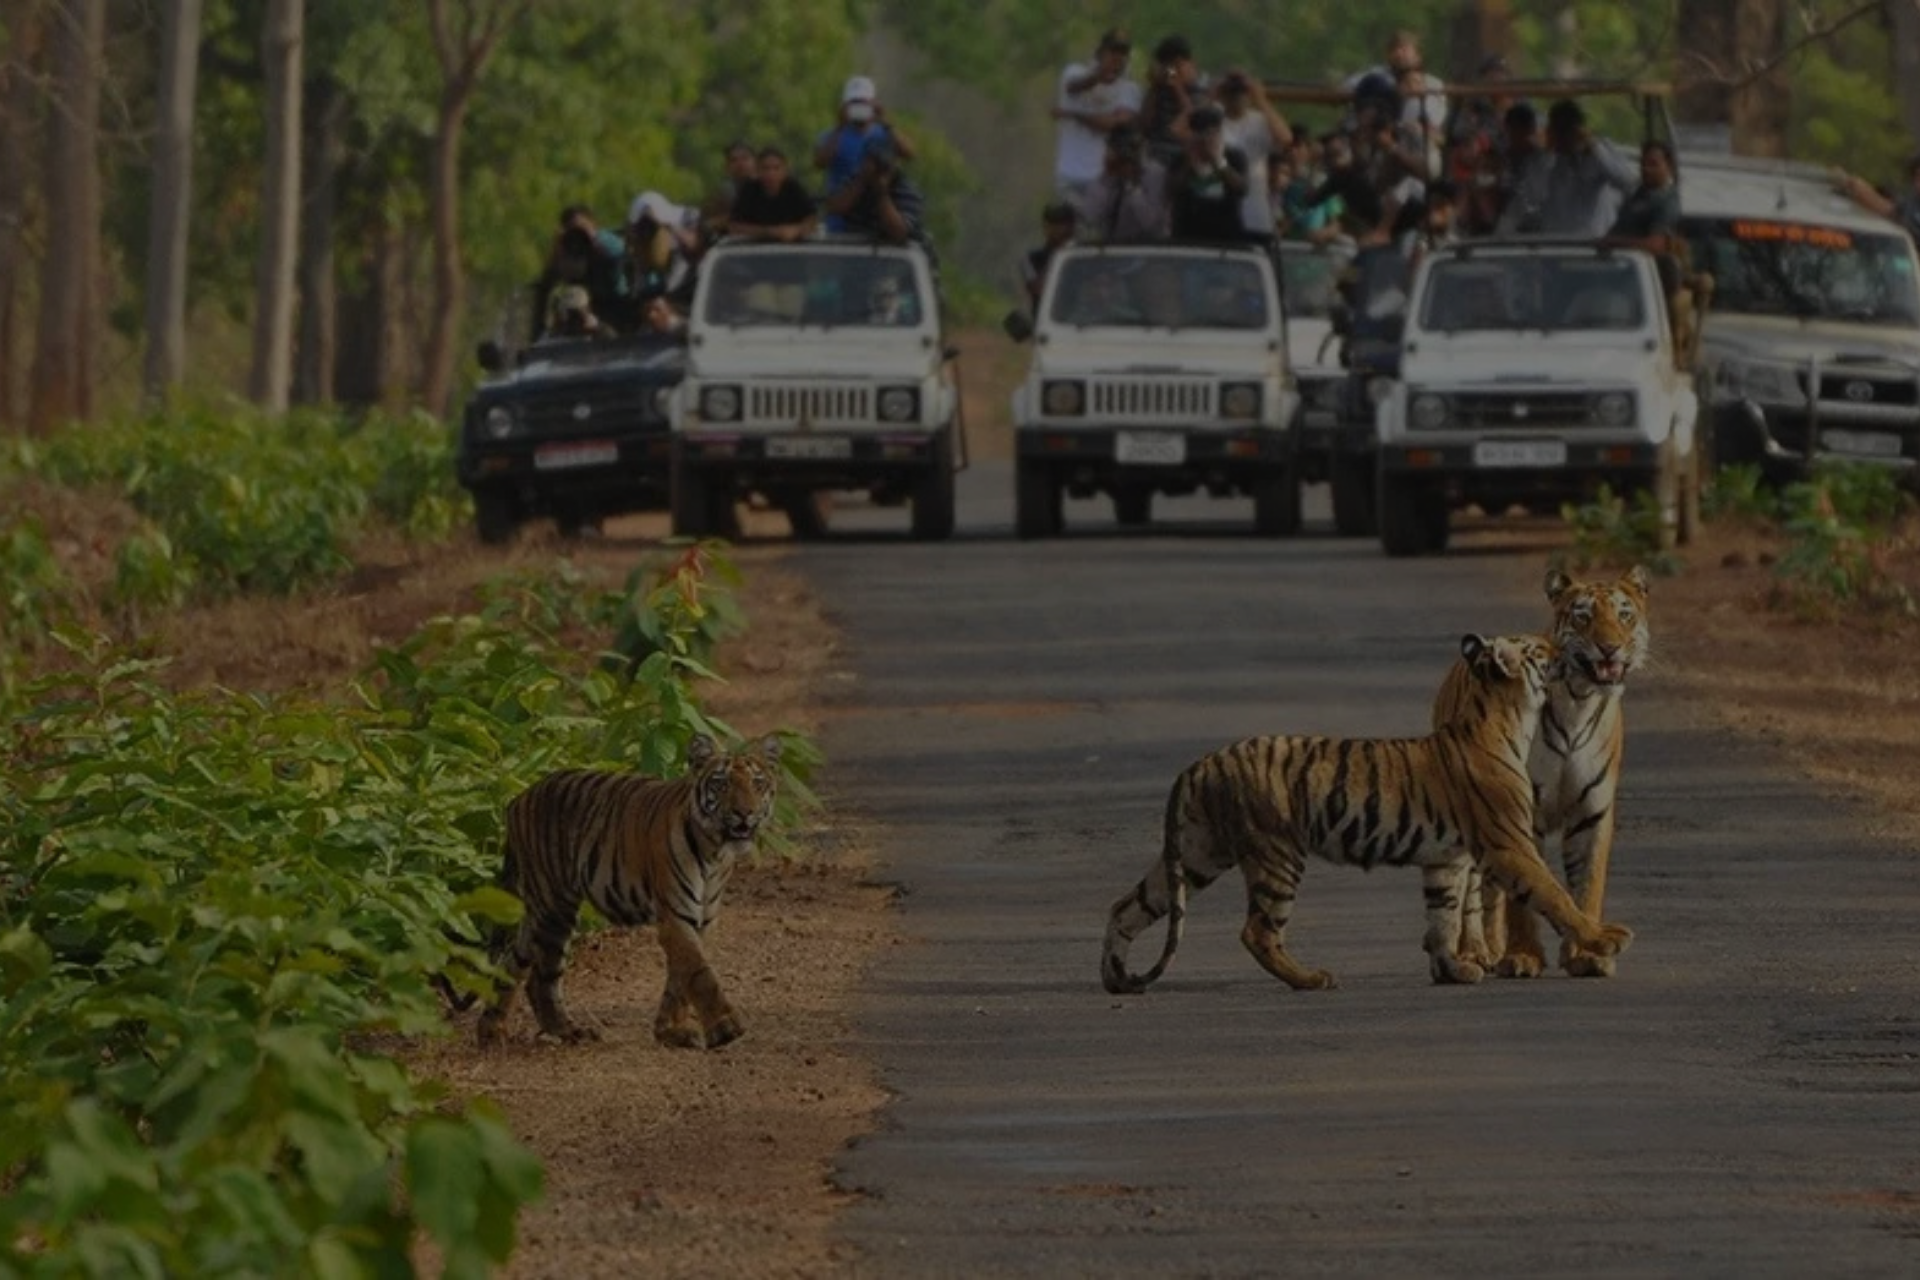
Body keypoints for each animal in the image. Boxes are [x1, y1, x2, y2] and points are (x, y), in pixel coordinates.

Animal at [456, 729, 779, 1051]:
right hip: (554, 907)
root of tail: (517, 799)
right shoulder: (676, 916)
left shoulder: (702, 919)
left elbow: (680, 976)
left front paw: (671, 1031)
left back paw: (493, 1032)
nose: (744, 813)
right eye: (721, 784)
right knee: (541, 978)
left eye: (758, 783)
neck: (715, 851)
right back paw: (567, 1031)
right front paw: (725, 1028)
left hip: (539, 912)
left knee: (514, 963)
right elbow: (699, 972)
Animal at [1443, 564, 1651, 982]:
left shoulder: (1592, 813)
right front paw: (1522, 957)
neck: (1579, 701)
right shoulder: (1522, 813)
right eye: (1583, 616)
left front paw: (1587, 955)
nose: (1609, 647)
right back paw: (1474, 953)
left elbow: (1586, 886)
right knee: (1472, 888)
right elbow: (1523, 899)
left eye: (1624, 615)